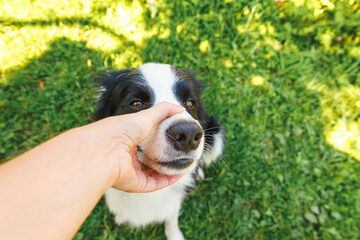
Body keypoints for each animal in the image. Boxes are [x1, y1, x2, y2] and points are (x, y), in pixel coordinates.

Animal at [92, 63, 225, 240]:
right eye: (137, 103)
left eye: (190, 103)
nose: (188, 134)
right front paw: (121, 217)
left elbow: (172, 219)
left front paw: (174, 235)